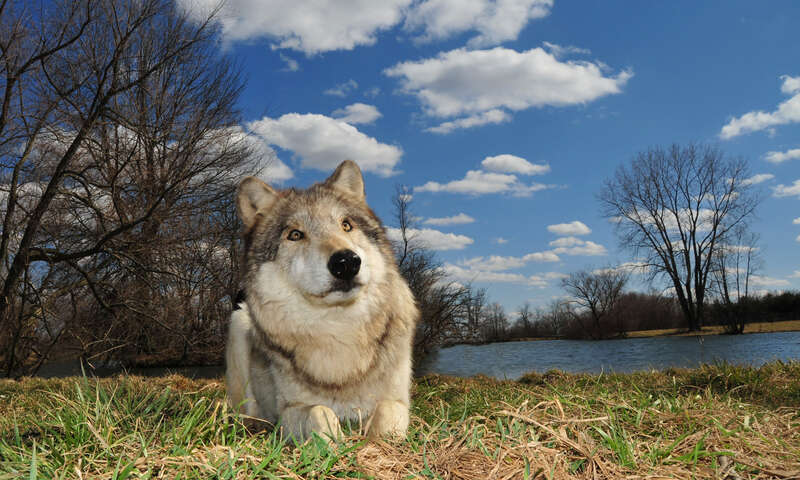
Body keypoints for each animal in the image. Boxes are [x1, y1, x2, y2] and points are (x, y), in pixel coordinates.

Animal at [225, 160, 418, 441]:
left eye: (346, 225)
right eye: (295, 235)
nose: (346, 262)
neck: (339, 330)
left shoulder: (399, 402)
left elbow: (384, 412)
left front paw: (374, 444)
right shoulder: (290, 410)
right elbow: (320, 412)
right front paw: (336, 444)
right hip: (238, 323)